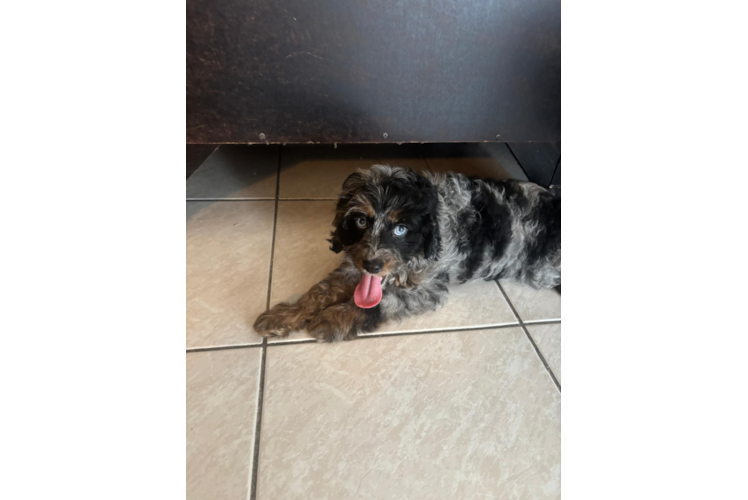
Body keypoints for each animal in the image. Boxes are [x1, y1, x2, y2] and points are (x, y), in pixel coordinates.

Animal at [254, 166, 560, 342]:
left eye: (401, 229)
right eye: (361, 221)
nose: (373, 265)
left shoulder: (428, 287)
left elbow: (382, 302)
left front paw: (332, 318)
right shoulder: (354, 263)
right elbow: (321, 290)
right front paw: (285, 315)